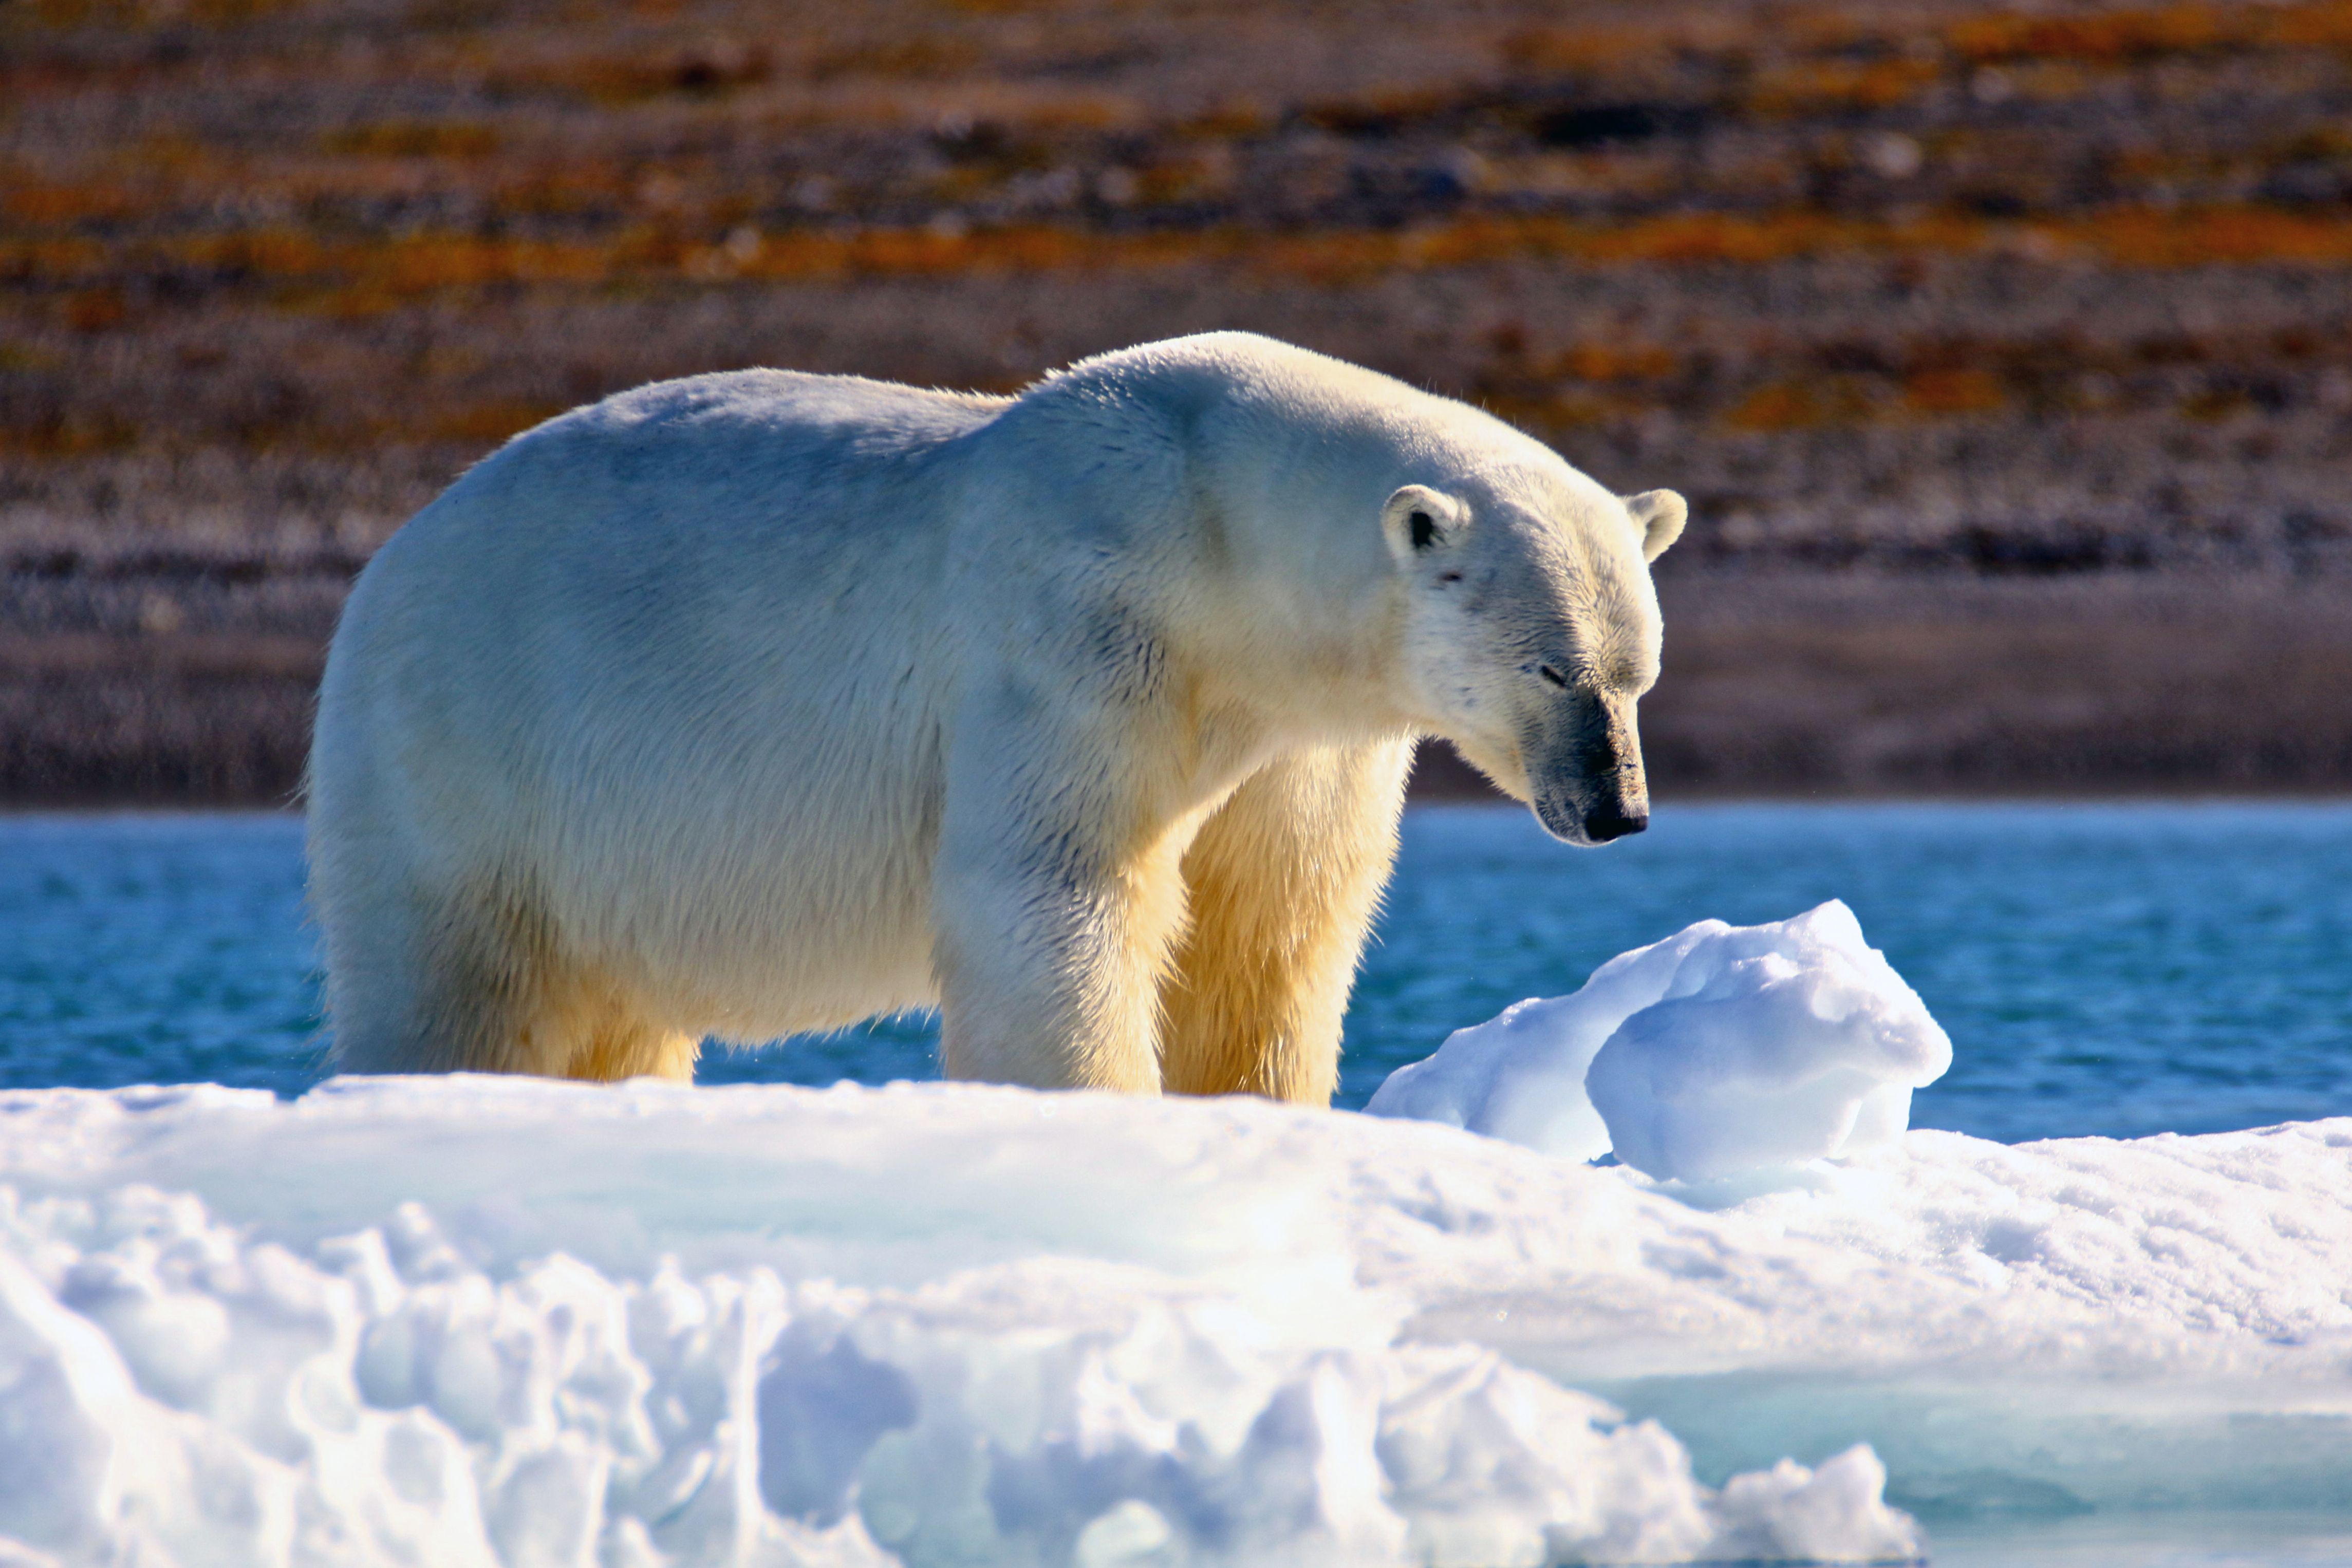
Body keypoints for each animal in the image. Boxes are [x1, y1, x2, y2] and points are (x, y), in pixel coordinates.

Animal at [312, 333, 1684, 1105]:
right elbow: (1052, 895)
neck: (1221, 537)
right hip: (465, 751)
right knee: (454, 983)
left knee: (619, 1015)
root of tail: (392, 556)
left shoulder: (1305, 738)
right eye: (1553, 669)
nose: (1617, 810)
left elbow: (1268, 934)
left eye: (1637, 674)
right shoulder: (1078, 636)